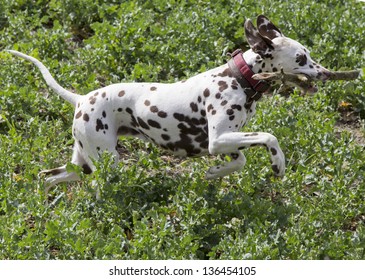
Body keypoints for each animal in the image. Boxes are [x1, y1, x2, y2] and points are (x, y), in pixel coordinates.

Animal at [7, 15, 330, 195]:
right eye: (301, 58)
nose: (326, 72)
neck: (238, 78)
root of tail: (81, 99)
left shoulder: (225, 142)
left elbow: (239, 161)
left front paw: (215, 173)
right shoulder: (219, 139)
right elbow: (269, 137)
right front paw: (278, 164)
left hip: (82, 162)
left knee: (49, 178)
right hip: (105, 164)